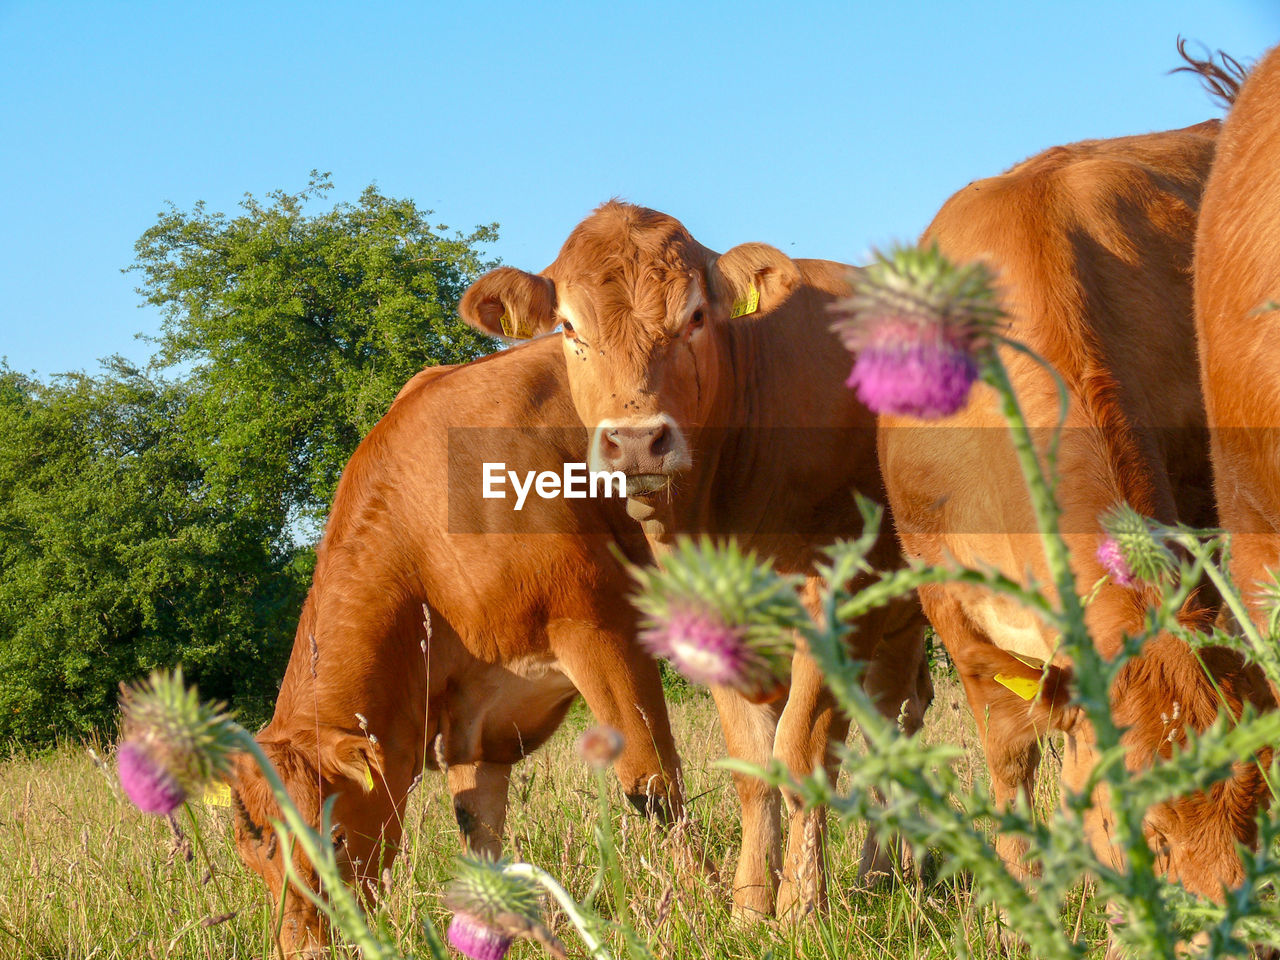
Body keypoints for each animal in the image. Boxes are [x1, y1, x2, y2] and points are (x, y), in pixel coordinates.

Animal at [230, 355, 691, 960]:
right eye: (250, 852)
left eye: (334, 837)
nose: (305, 949)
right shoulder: (473, 719)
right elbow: (479, 833)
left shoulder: (601, 626)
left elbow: (653, 781)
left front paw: (701, 901)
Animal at [460, 204, 931, 926]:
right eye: (568, 326)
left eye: (697, 317)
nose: (635, 441)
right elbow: (752, 764)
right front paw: (749, 907)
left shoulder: (839, 592)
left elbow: (800, 751)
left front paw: (799, 909)